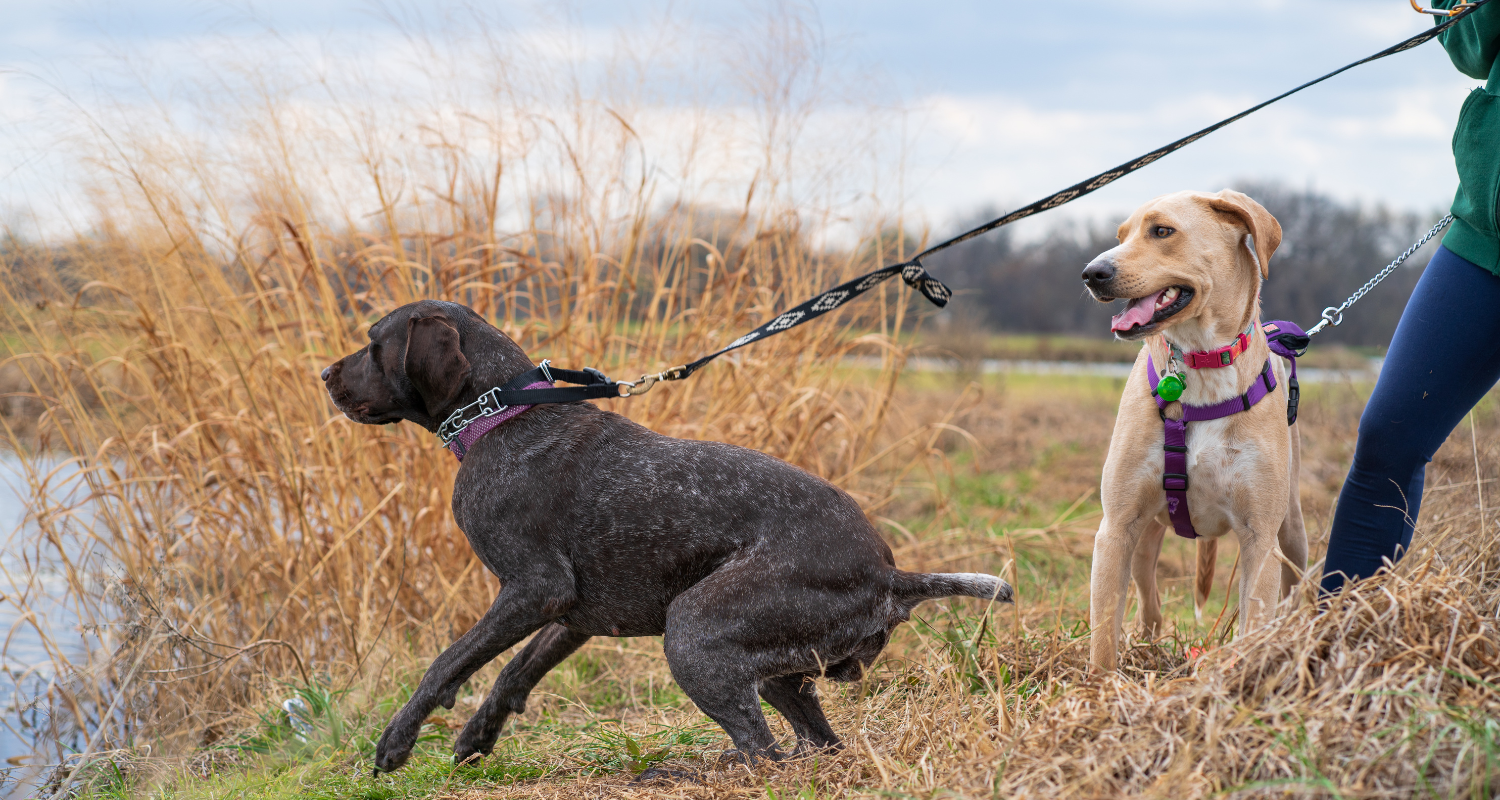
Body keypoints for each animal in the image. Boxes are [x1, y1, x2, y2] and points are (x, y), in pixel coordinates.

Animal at [322, 297, 1014, 768]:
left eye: (373, 343)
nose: (326, 376)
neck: (502, 417)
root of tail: (890, 575)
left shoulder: (533, 589)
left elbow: (447, 662)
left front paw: (397, 739)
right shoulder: (572, 612)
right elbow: (515, 671)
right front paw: (477, 735)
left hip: (694, 630)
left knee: (762, 751)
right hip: (772, 666)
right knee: (811, 744)